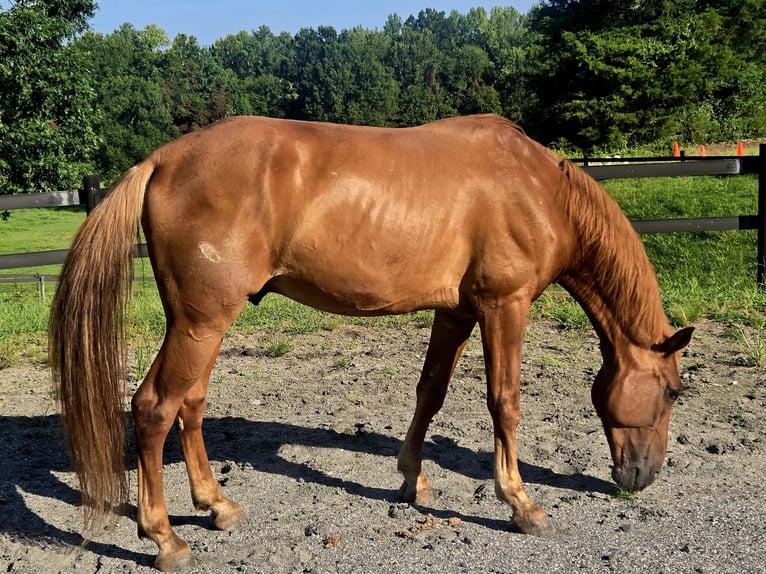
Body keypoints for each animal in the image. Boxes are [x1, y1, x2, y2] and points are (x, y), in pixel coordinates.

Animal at [49, 114, 693, 571]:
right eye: (672, 391)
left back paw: (217, 506)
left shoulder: (456, 312)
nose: (642, 477)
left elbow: (430, 392)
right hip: (199, 323)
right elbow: (505, 403)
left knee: (191, 405)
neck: (534, 187)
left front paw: (412, 480)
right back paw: (165, 539)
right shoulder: (504, 306)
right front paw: (522, 505)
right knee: (155, 408)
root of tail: (162, 160)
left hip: (200, 325)